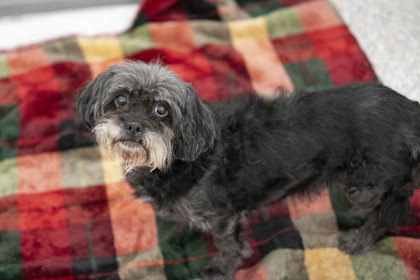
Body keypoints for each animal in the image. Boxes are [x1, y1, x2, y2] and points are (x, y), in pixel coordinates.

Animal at [76, 61, 420, 280]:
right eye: (120, 99)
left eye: (162, 109)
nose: (133, 126)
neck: (176, 159)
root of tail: (410, 111)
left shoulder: (222, 218)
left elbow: (229, 247)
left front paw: (220, 270)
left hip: (367, 185)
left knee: (382, 216)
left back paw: (358, 240)